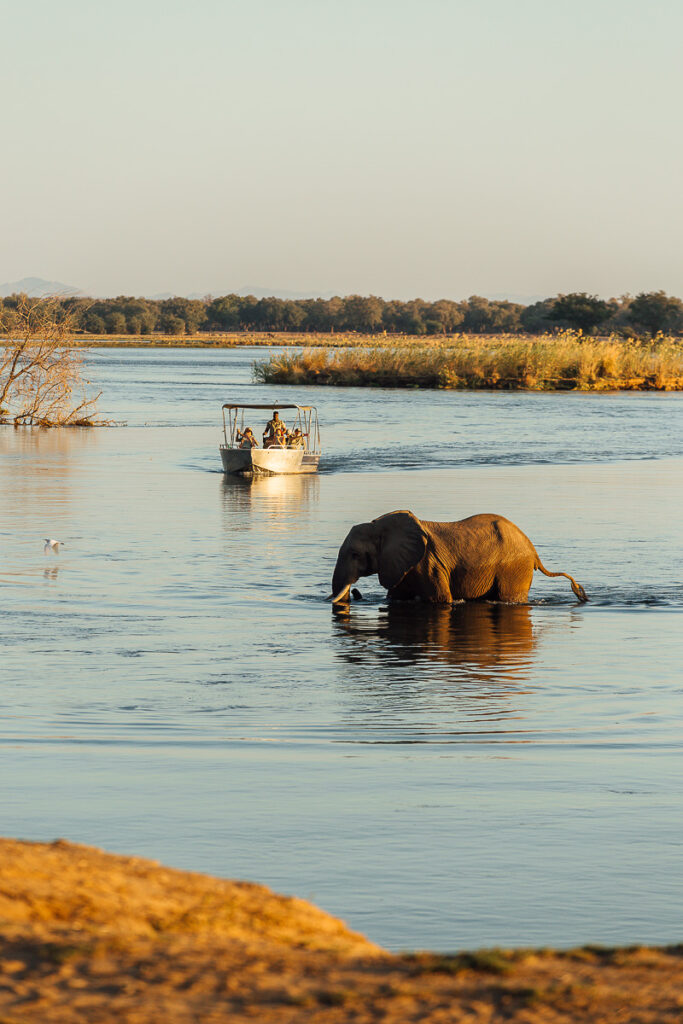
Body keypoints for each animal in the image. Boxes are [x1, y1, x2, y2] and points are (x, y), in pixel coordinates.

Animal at [331, 509, 589, 602]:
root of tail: (534, 552)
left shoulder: (428, 564)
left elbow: (441, 601)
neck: (380, 524)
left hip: (514, 568)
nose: (354, 591)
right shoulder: (402, 566)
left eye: (355, 554)